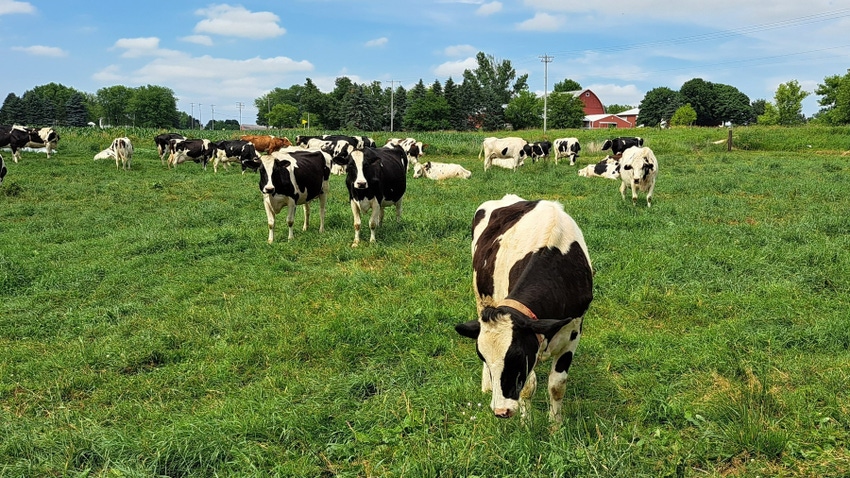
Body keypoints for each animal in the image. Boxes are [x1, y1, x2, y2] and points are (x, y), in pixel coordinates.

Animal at [454, 194, 592, 422]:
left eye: (517, 357)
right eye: (483, 356)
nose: (501, 411)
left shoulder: (573, 332)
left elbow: (557, 386)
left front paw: (555, 425)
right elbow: (528, 387)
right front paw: (526, 424)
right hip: (480, 297)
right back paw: (486, 387)